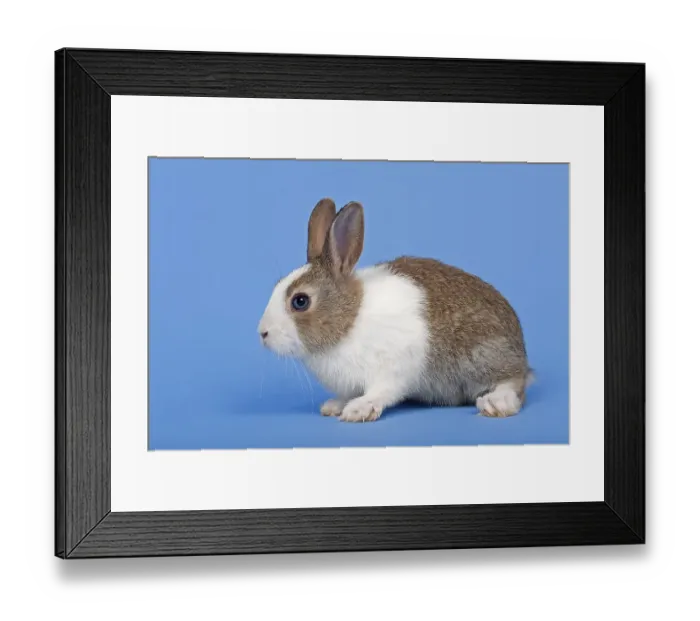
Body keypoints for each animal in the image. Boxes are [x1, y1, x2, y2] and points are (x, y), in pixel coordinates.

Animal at [258, 198, 534, 423]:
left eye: (300, 301)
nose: (262, 333)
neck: (349, 320)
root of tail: (521, 351)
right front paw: (334, 406)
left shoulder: (393, 367)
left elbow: (383, 391)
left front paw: (358, 409)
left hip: (482, 354)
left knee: (514, 381)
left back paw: (496, 403)